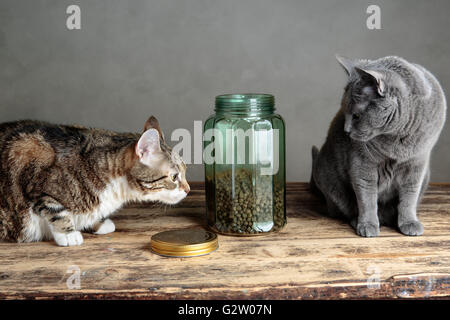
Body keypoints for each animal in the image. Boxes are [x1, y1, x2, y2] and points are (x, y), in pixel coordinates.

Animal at [0, 116, 189, 246]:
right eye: (174, 177)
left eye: (185, 171)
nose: (187, 190)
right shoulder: (35, 178)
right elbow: (55, 209)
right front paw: (68, 233)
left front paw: (97, 223)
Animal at [312, 55, 446, 236]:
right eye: (344, 112)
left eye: (356, 116)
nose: (346, 131)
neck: (397, 136)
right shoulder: (362, 162)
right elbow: (367, 197)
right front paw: (368, 225)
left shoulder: (416, 163)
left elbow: (409, 197)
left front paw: (409, 223)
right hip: (330, 182)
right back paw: (358, 221)